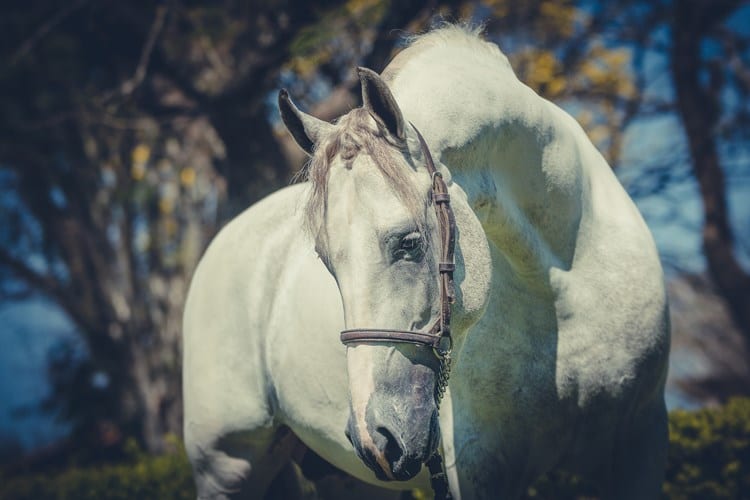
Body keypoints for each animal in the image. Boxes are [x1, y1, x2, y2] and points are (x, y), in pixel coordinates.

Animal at [182, 25, 670, 499]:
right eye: (325, 260)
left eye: (410, 243)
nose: (375, 438)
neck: (565, 283)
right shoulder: (478, 467)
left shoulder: (641, 444)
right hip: (227, 469)